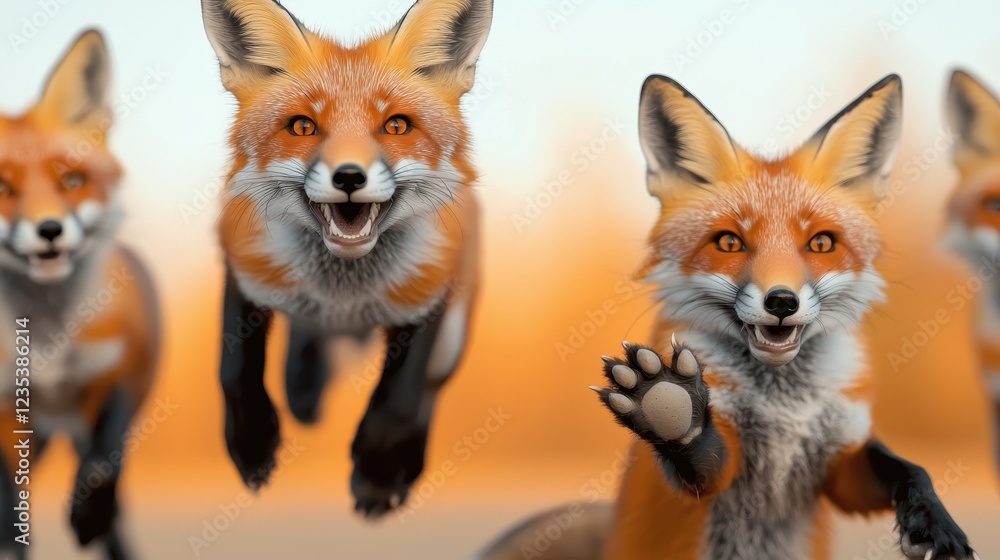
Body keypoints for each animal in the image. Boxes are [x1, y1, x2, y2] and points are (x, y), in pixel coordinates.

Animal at [0, 30, 160, 559]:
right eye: (3, 189)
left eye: (72, 181)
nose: (49, 230)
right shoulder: (4, 405)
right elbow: (7, 494)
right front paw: (9, 533)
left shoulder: (128, 369)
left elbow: (103, 458)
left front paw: (87, 515)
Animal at [200, 0, 492, 516]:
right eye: (303, 126)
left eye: (396, 125)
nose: (350, 177)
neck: (345, 292)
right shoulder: (242, 267)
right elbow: (233, 370)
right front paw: (252, 445)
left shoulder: (430, 296)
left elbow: (400, 399)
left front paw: (377, 475)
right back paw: (304, 385)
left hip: (455, 334)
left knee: (431, 392)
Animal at [479, 76, 977, 560]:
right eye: (729, 243)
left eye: (821, 243)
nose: (782, 302)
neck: (784, 405)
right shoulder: (725, 455)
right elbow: (699, 455)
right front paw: (669, 408)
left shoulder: (839, 461)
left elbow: (910, 468)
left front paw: (935, 523)